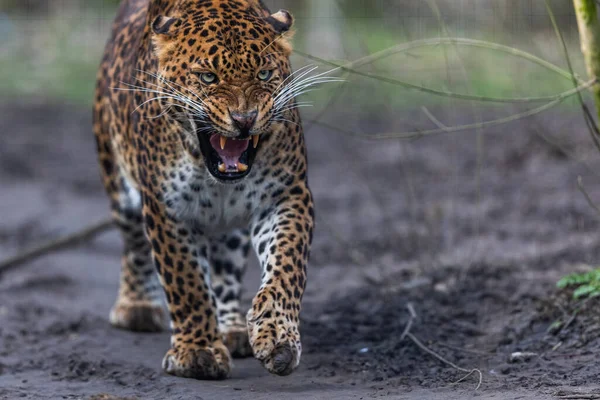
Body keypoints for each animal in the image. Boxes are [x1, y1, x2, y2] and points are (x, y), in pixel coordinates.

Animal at [92, 0, 318, 380]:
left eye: (264, 75)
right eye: (208, 78)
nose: (244, 120)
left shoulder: (285, 194)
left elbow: (287, 265)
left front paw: (278, 337)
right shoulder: (166, 208)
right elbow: (187, 283)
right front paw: (198, 353)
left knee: (226, 267)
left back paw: (232, 329)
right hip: (118, 182)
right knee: (134, 244)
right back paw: (137, 306)